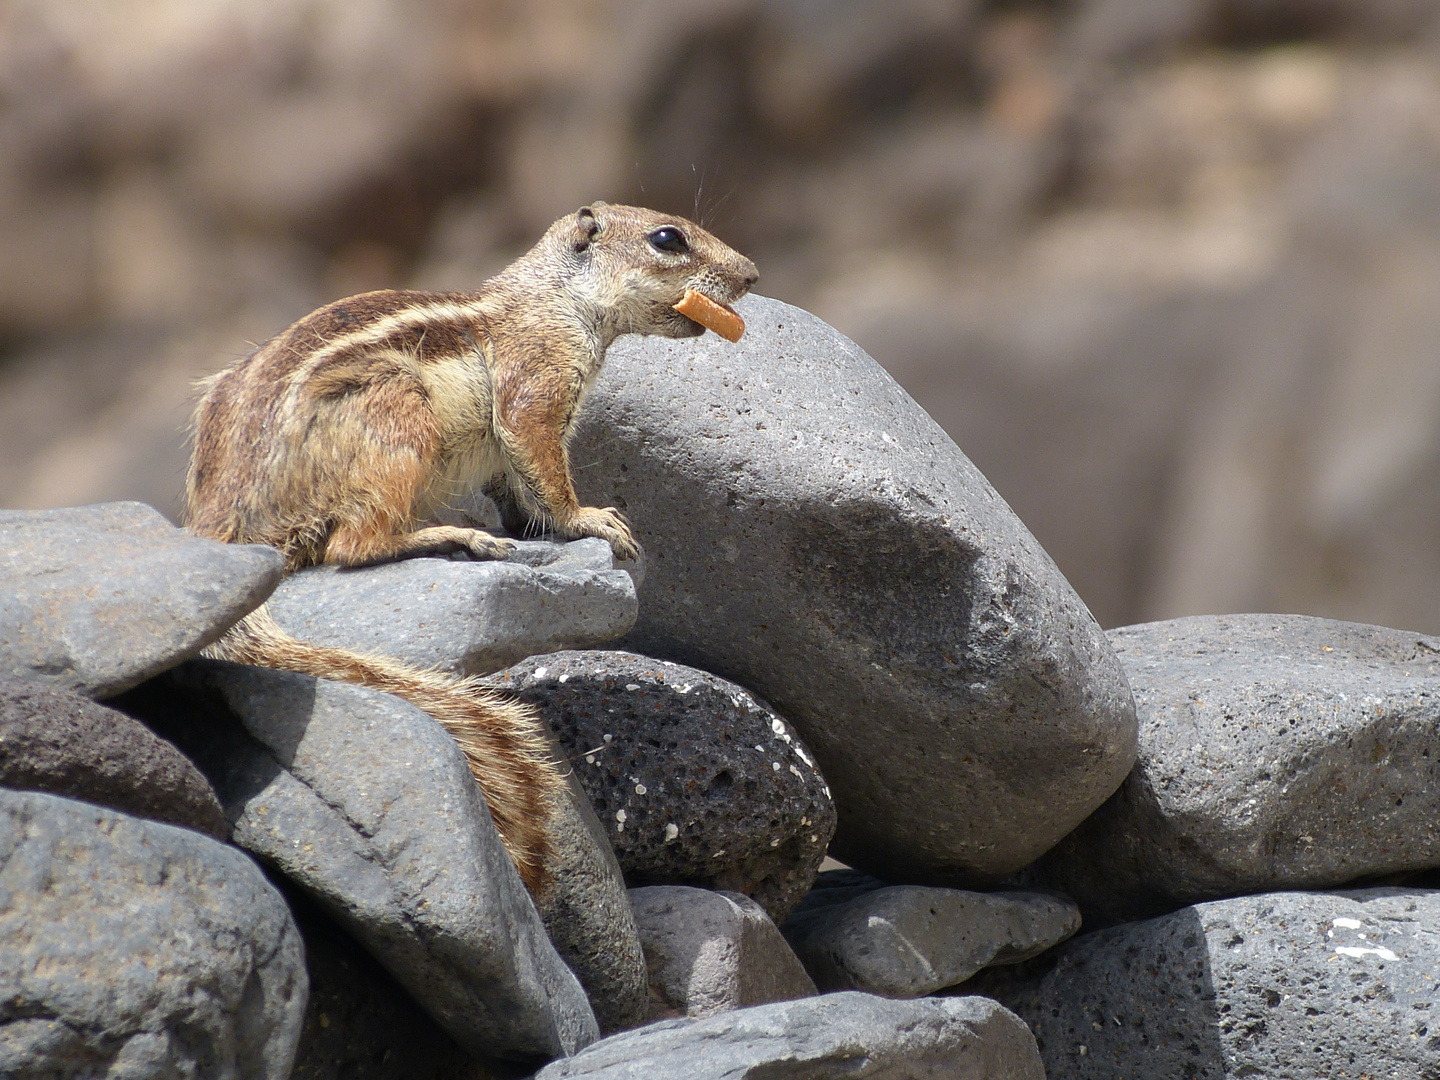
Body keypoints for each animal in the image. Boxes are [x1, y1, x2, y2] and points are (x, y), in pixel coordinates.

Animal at [185, 204, 760, 898]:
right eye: (668, 239)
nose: (752, 275)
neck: (553, 298)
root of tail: (227, 520)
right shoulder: (538, 387)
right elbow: (543, 465)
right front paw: (592, 521)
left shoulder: (510, 451)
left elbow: (518, 486)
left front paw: (536, 526)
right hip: (397, 414)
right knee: (354, 544)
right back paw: (448, 535)